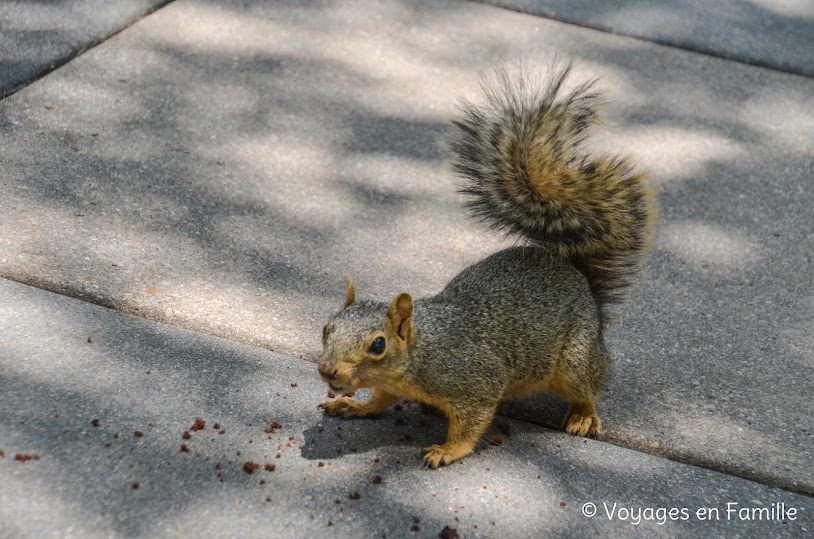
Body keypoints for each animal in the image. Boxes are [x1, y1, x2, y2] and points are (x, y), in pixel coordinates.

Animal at [316, 62, 652, 468]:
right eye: (326, 328)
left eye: (378, 344)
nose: (326, 369)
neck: (422, 350)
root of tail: (579, 277)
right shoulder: (390, 384)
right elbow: (381, 400)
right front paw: (355, 406)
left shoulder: (475, 380)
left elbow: (471, 422)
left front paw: (447, 450)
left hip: (576, 357)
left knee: (589, 385)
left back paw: (583, 415)